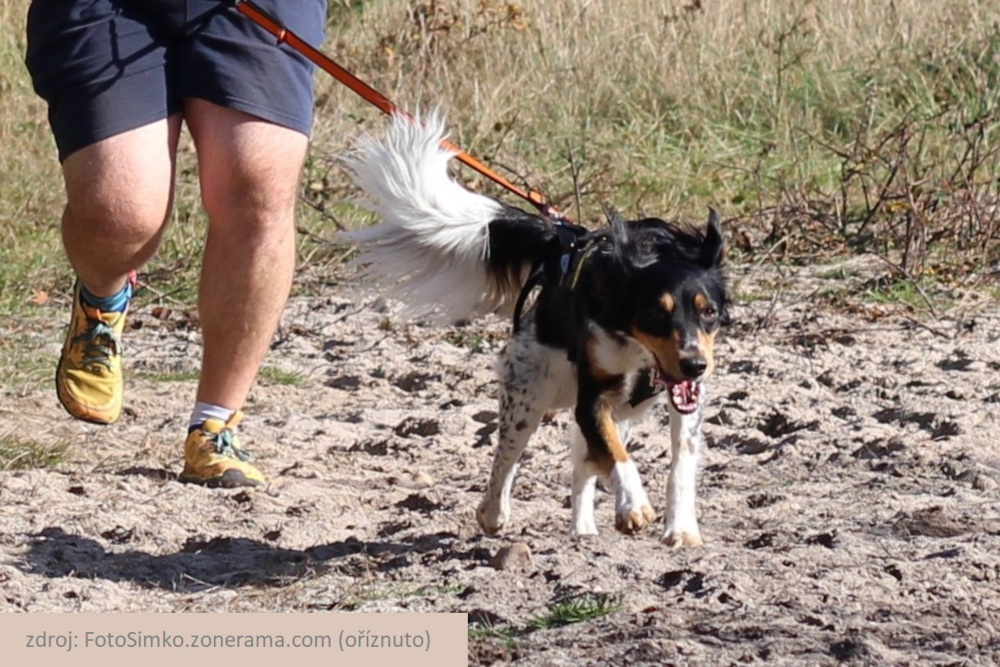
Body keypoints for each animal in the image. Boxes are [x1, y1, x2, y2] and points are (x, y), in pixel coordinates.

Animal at [342, 115, 728, 548]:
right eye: (655, 314)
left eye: (709, 312)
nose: (695, 364)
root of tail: (559, 243)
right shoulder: (593, 396)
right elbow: (615, 454)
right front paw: (633, 505)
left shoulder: (682, 397)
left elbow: (680, 459)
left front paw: (680, 528)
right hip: (531, 390)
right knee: (507, 460)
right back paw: (494, 513)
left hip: (615, 404)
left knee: (582, 466)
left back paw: (584, 530)